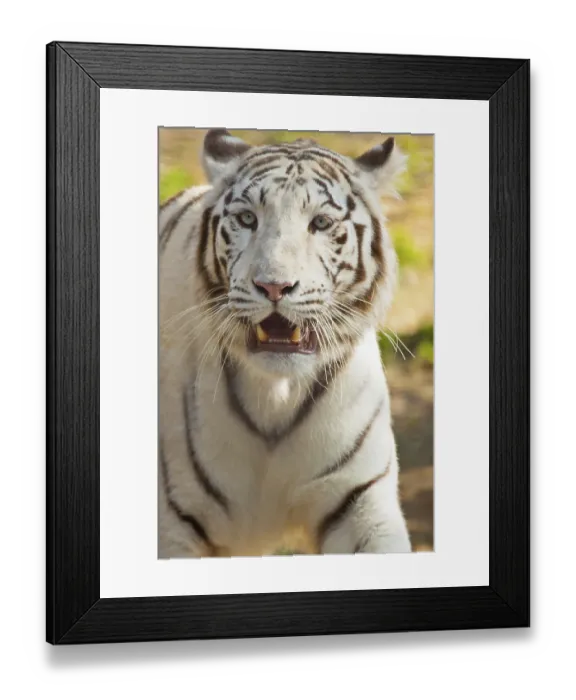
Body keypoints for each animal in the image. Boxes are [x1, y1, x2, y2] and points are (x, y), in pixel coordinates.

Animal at [158, 128, 412, 558]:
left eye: (321, 223)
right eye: (247, 219)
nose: (273, 286)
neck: (277, 392)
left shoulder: (359, 499)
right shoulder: (173, 522)